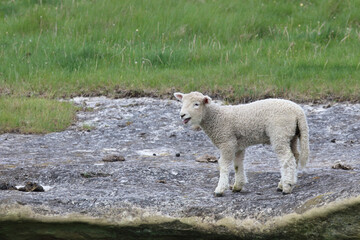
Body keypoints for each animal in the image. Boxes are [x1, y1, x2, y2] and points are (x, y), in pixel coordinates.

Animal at [174, 91, 310, 196]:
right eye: (182, 103)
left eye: (196, 104)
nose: (182, 115)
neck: (216, 117)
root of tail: (298, 111)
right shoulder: (238, 144)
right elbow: (238, 164)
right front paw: (238, 186)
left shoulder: (227, 142)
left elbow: (224, 164)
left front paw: (220, 189)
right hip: (291, 135)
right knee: (295, 156)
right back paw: (284, 183)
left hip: (280, 133)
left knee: (287, 159)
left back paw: (287, 187)